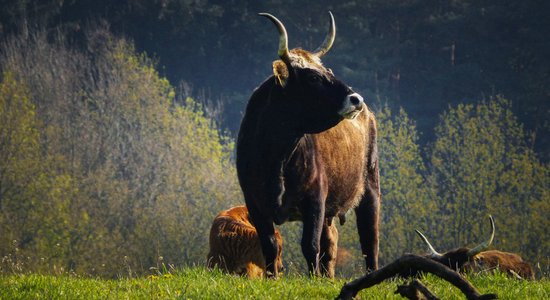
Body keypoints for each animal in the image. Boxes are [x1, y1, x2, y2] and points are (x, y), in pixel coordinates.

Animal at [235, 12, 382, 278]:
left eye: (327, 70)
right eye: (313, 77)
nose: (356, 99)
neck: (276, 159)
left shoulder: (315, 200)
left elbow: (310, 245)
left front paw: (312, 279)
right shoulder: (254, 202)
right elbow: (269, 245)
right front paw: (273, 278)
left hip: (370, 189)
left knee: (370, 239)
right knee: (330, 242)